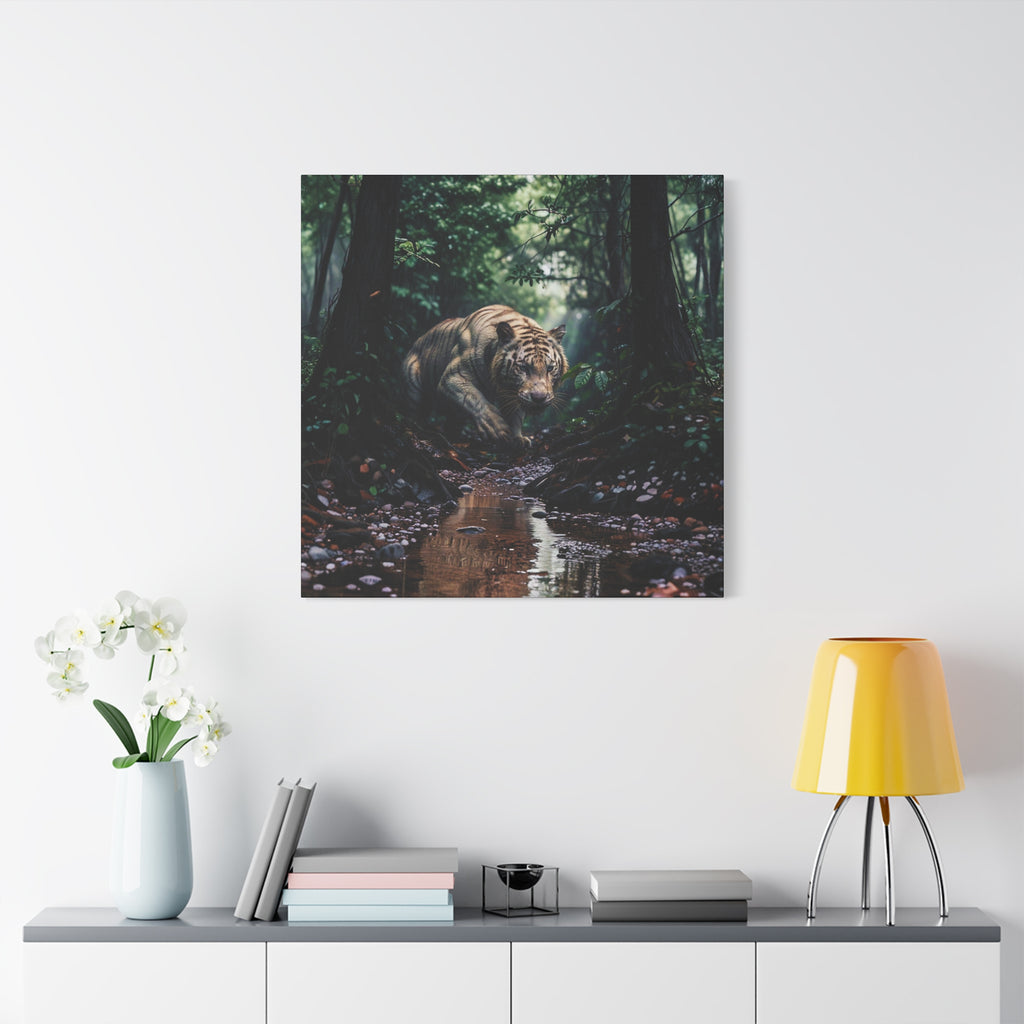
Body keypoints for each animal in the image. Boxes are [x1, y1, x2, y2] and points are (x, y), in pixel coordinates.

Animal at [402, 305, 568, 448]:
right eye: (523, 368)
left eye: (550, 368)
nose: (539, 398)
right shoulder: (452, 378)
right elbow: (475, 400)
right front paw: (497, 428)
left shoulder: (515, 394)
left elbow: (515, 415)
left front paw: (518, 438)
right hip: (413, 389)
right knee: (414, 413)